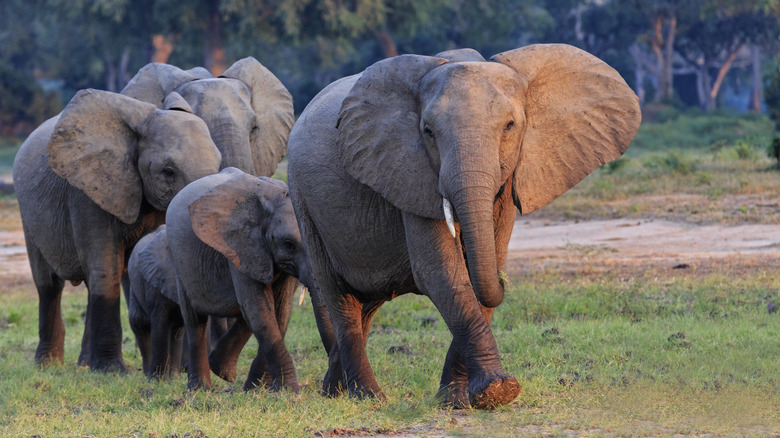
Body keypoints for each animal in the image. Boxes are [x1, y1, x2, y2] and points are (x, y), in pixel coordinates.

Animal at [14, 89, 222, 372]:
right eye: (168, 172)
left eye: (220, 165)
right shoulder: (87, 191)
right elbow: (106, 268)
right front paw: (113, 370)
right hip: (28, 212)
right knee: (49, 284)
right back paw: (49, 365)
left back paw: (85, 365)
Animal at [166, 167, 312, 390]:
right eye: (289, 244)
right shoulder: (240, 247)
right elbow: (260, 311)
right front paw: (288, 391)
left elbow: (280, 311)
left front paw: (257, 389)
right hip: (180, 261)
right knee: (194, 320)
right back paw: (201, 388)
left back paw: (222, 371)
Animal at [286, 44, 640, 408]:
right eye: (428, 132)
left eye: (510, 126)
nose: (505, 280)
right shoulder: (409, 173)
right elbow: (441, 273)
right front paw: (498, 391)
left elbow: (482, 267)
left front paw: (458, 399)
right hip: (303, 200)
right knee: (339, 296)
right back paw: (368, 396)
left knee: (366, 303)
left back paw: (333, 392)